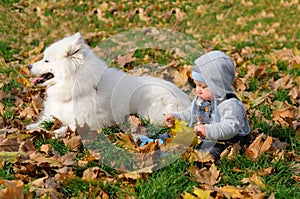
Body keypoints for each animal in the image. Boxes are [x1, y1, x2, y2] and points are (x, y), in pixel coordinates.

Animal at [25, 32, 190, 138]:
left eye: (46, 60)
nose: (28, 66)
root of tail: (185, 100)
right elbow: (45, 121)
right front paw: (32, 127)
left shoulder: (90, 123)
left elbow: (70, 127)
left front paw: (57, 132)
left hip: (151, 112)